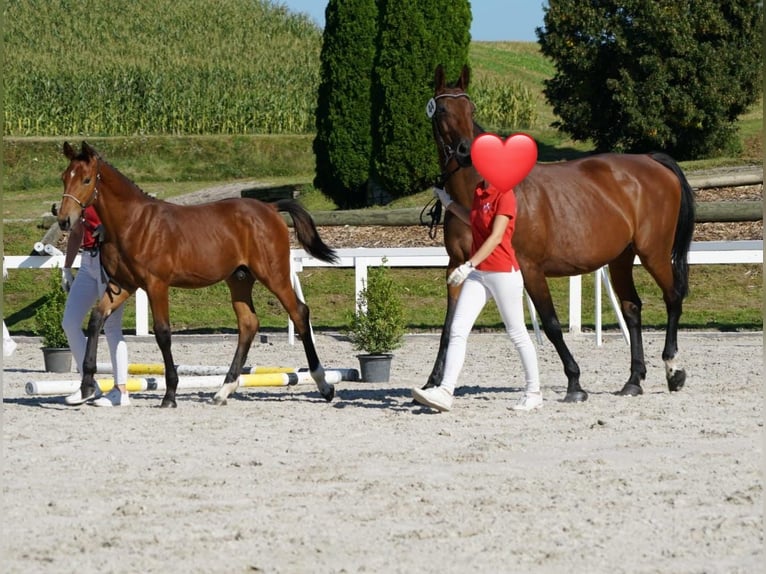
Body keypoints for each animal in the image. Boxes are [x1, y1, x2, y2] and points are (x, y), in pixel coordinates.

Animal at [57, 141, 339, 408]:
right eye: (63, 177)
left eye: (86, 179)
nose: (63, 220)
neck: (133, 223)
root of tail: (269, 208)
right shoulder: (123, 285)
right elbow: (95, 319)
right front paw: (86, 385)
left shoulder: (156, 285)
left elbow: (163, 333)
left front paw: (170, 395)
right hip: (239, 279)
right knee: (248, 324)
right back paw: (223, 391)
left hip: (274, 275)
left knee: (299, 313)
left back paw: (324, 385)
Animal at [426, 65, 695, 402]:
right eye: (443, 110)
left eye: (471, 108)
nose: (465, 151)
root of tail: (650, 159)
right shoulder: (457, 268)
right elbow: (449, 327)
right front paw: (432, 382)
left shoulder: (530, 268)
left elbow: (552, 324)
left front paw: (575, 383)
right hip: (622, 257)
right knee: (632, 308)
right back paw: (634, 380)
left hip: (653, 252)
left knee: (673, 297)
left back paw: (674, 370)